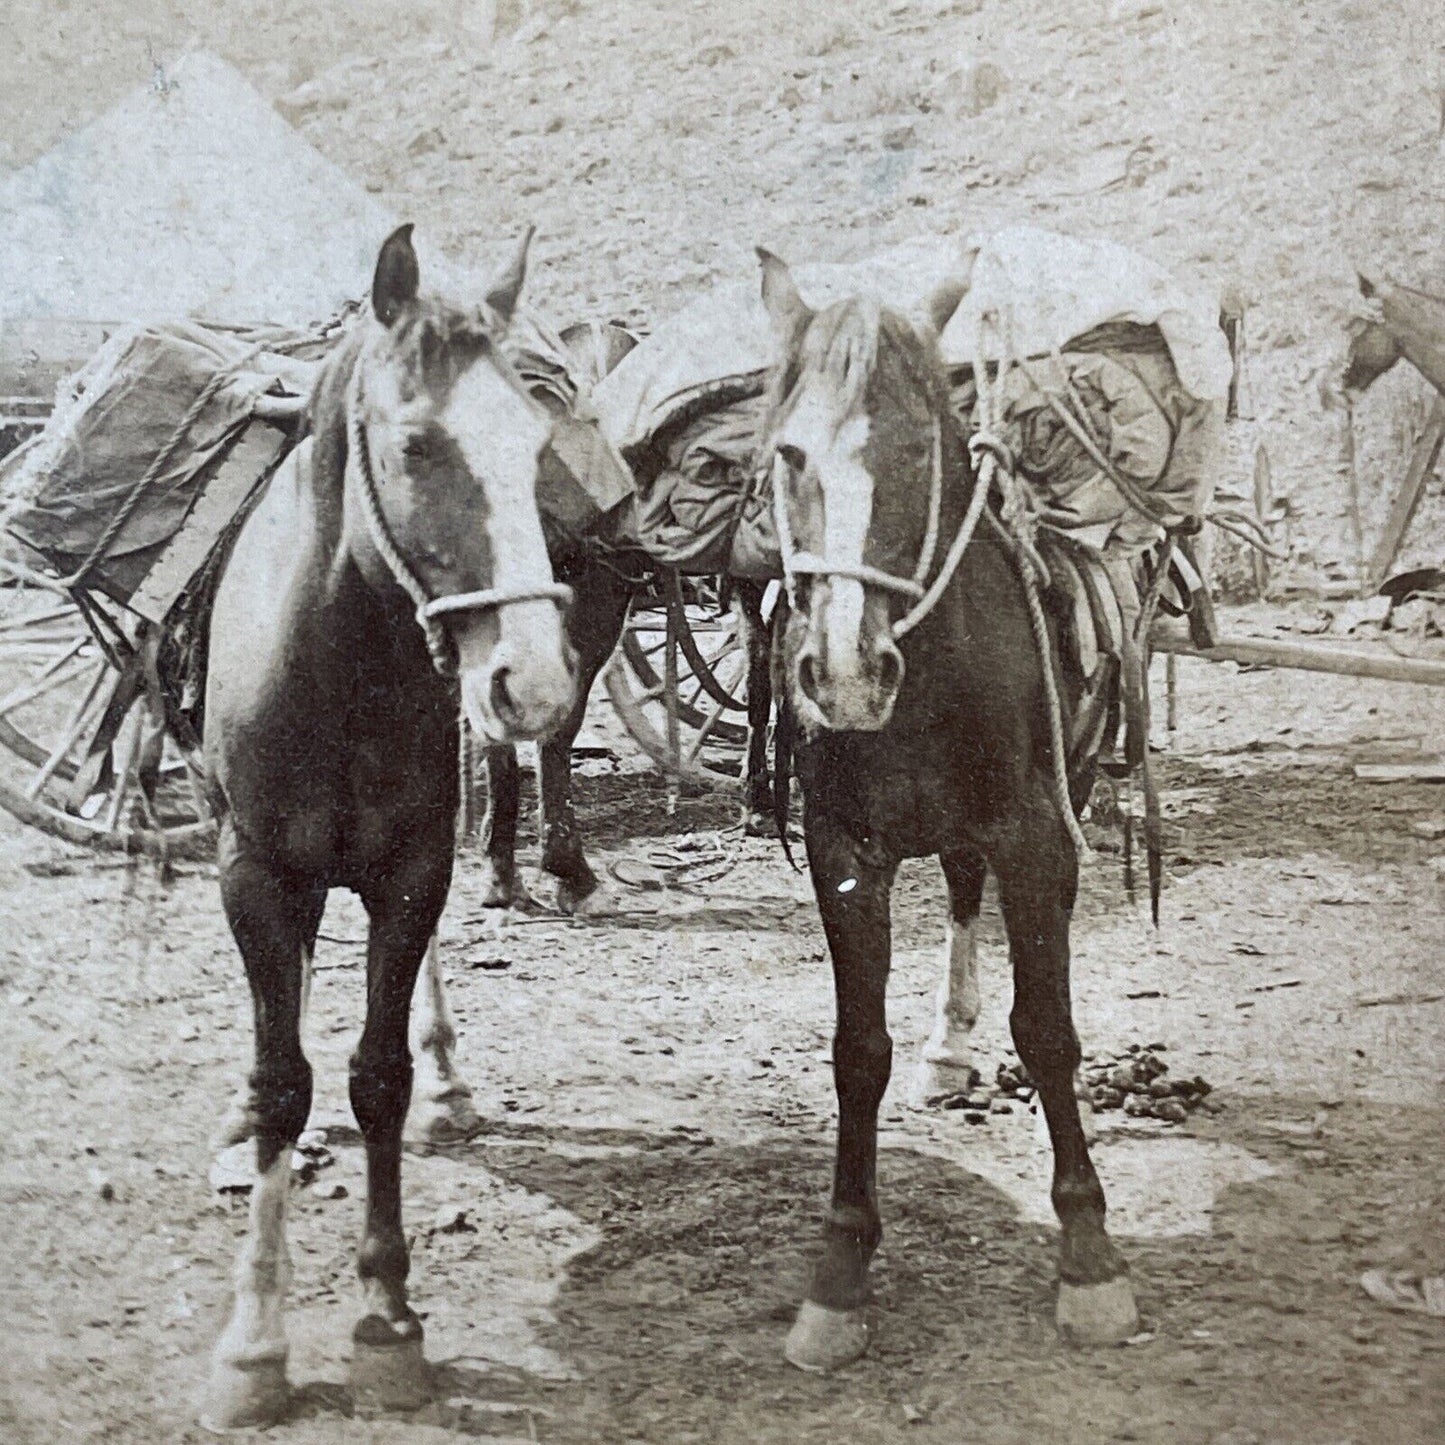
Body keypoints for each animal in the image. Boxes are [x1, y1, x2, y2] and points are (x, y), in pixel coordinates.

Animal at [199, 225, 580, 1433]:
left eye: (534, 443)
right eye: (416, 445)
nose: (533, 681)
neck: (338, 669)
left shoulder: (409, 873)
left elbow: (375, 1076)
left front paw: (386, 1318)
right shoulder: (257, 875)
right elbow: (284, 1078)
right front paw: (255, 1342)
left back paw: (451, 1082)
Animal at [757, 251, 1138, 1375]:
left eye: (918, 446)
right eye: (788, 449)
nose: (844, 673)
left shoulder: (1033, 836)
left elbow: (1047, 1028)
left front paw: (1088, 1255)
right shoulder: (843, 853)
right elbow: (856, 1050)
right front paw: (838, 1270)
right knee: (961, 897)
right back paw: (947, 1046)